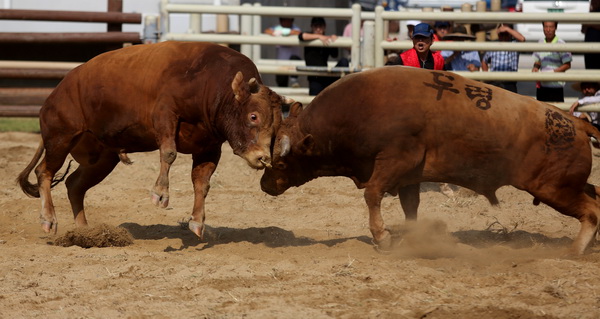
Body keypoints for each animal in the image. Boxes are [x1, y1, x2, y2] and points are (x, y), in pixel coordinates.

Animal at [16, 40, 284, 240]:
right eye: (253, 116)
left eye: (277, 123)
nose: (263, 158)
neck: (208, 82)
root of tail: (54, 94)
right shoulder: (165, 115)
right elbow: (169, 153)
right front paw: (161, 193)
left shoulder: (209, 146)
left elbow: (202, 182)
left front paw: (197, 221)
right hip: (60, 138)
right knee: (44, 173)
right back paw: (49, 219)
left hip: (102, 158)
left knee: (74, 184)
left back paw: (85, 231)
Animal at [260, 67, 600, 255]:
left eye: (281, 163)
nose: (264, 184)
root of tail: (575, 123)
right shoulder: (409, 177)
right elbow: (410, 206)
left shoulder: (394, 161)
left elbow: (372, 194)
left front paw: (383, 237)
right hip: (567, 186)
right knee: (595, 194)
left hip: (554, 188)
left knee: (592, 211)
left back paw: (575, 249)